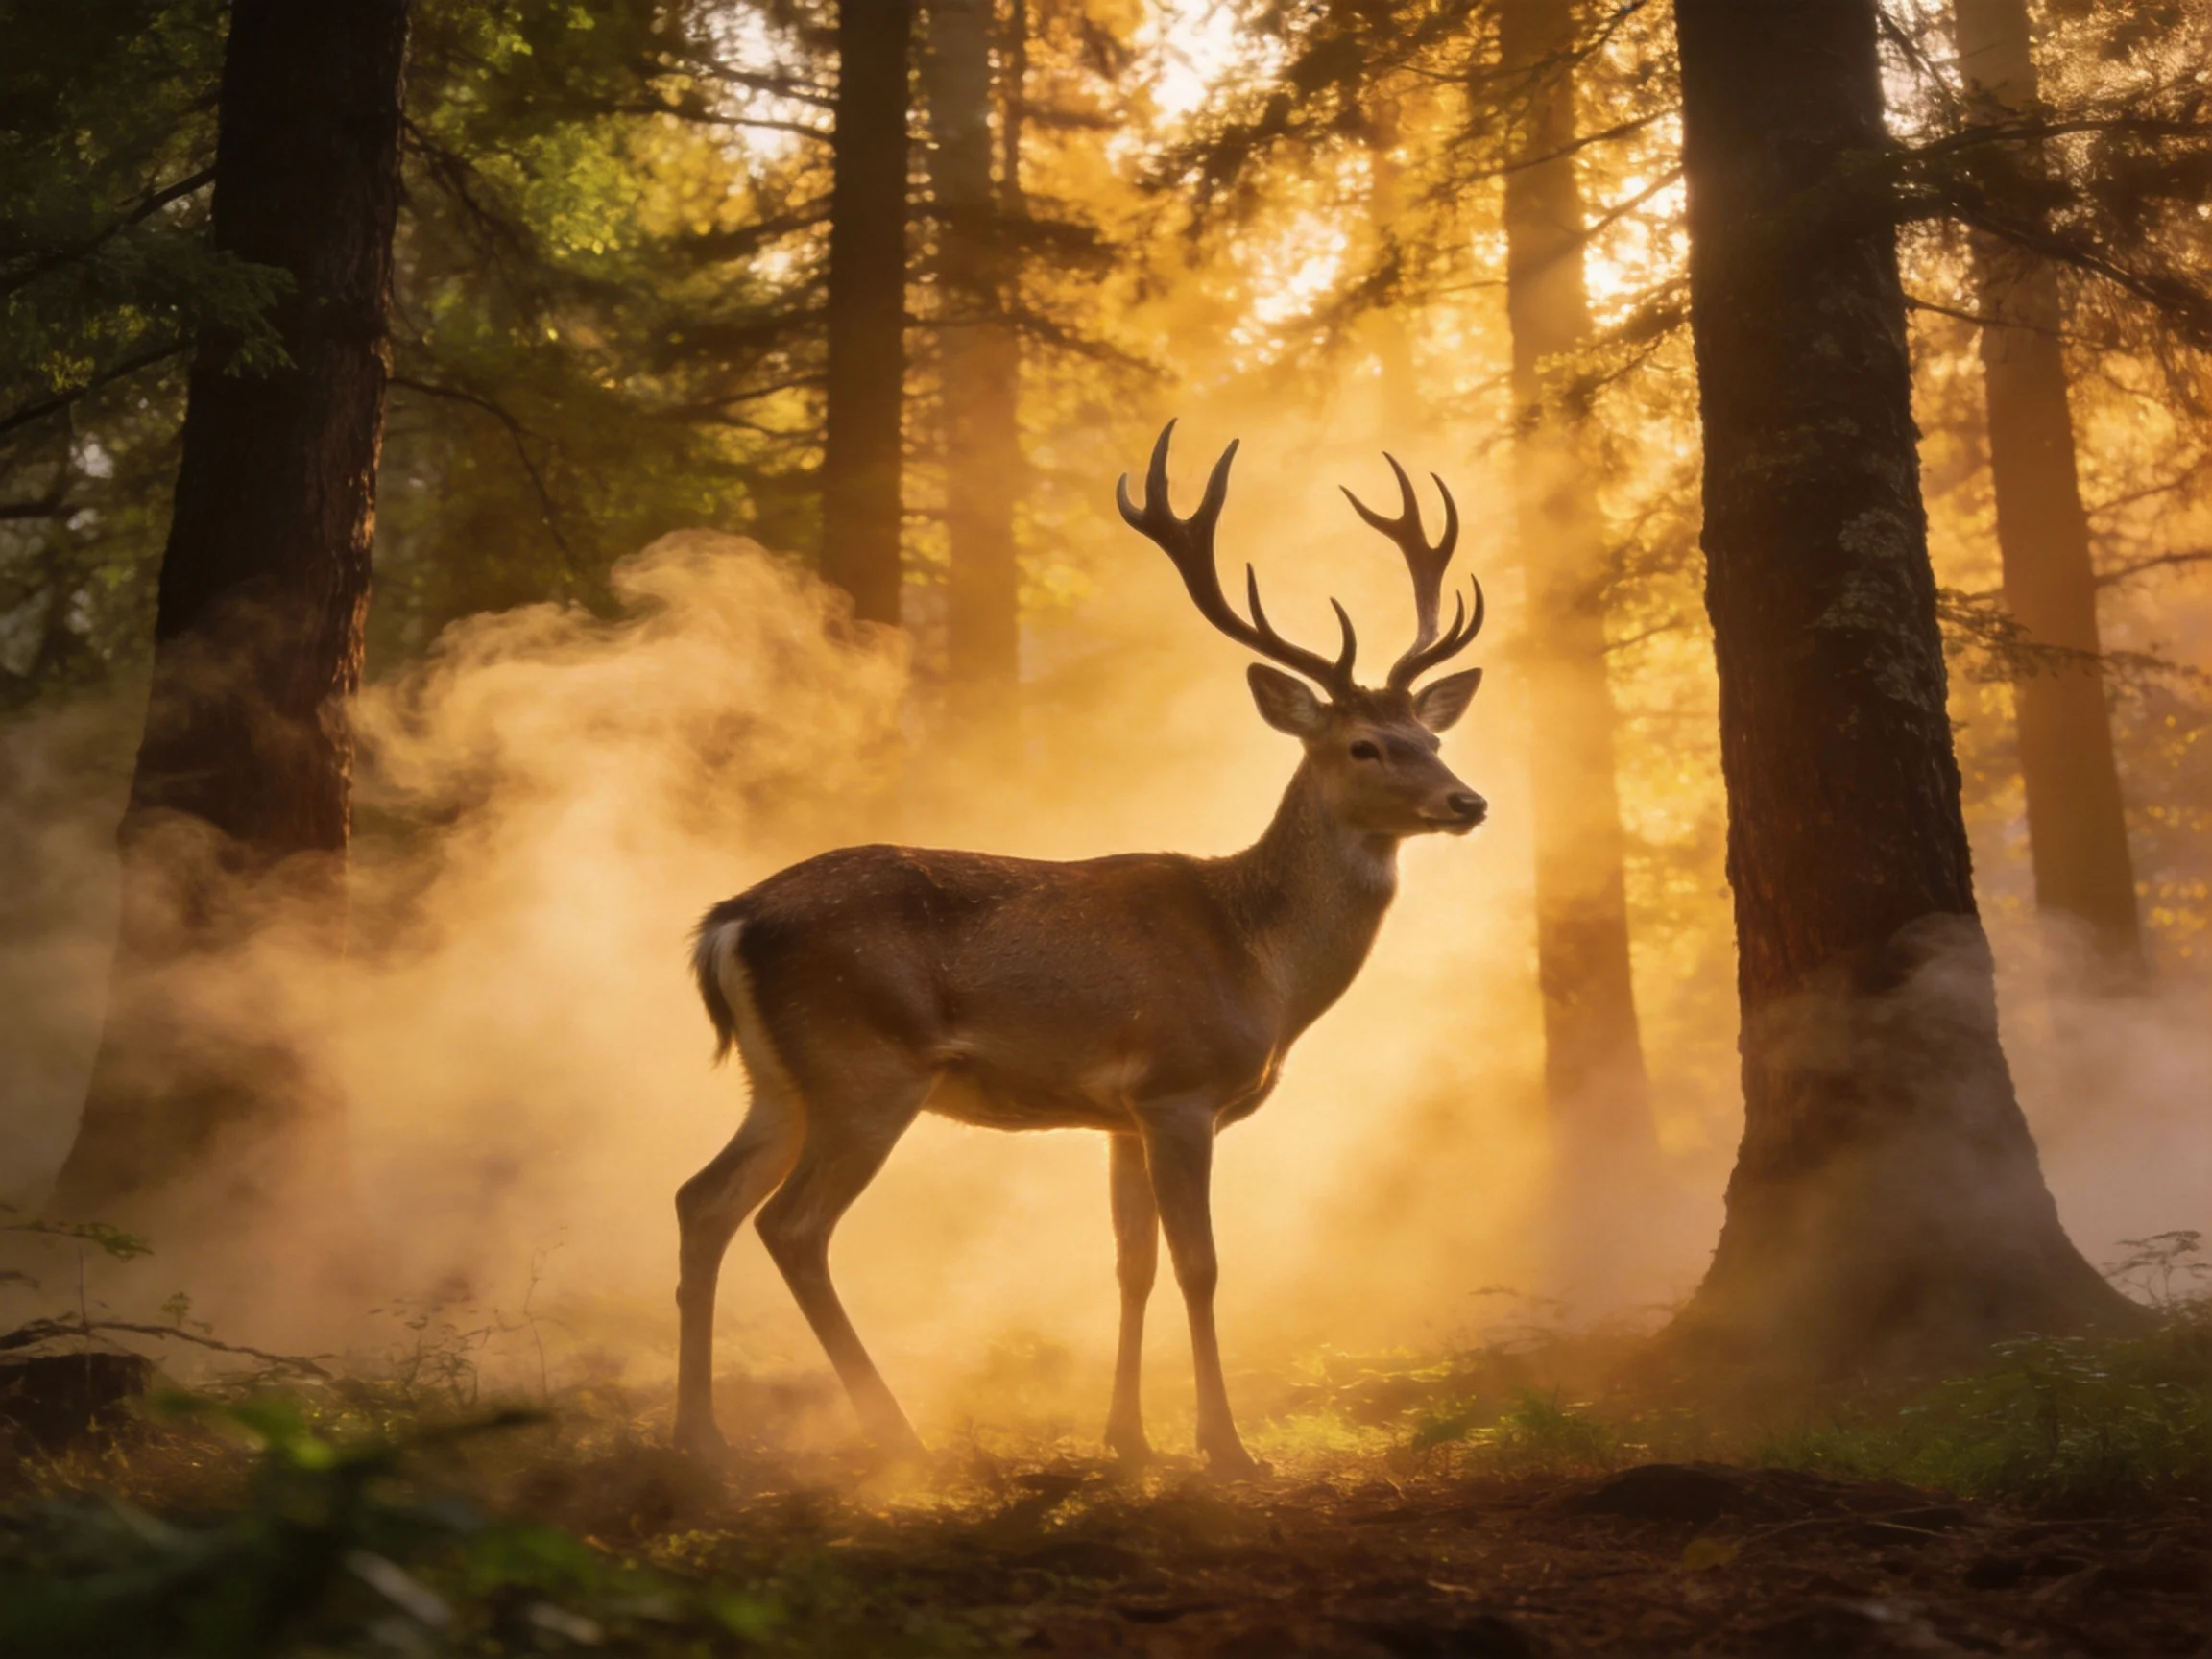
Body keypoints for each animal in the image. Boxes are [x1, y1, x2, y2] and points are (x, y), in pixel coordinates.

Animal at [674, 422, 1488, 1474]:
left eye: (1431, 737)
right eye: (1365, 746)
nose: (1468, 801)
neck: (1259, 964)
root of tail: (729, 919)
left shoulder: (1118, 1115)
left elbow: (1128, 1265)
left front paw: (1127, 1439)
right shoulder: (1180, 1087)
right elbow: (1199, 1264)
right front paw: (1227, 1450)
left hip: (779, 1079)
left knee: (702, 1201)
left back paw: (702, 1440)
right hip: (865, 1064)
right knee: (792, 1225)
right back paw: (897, 1436)